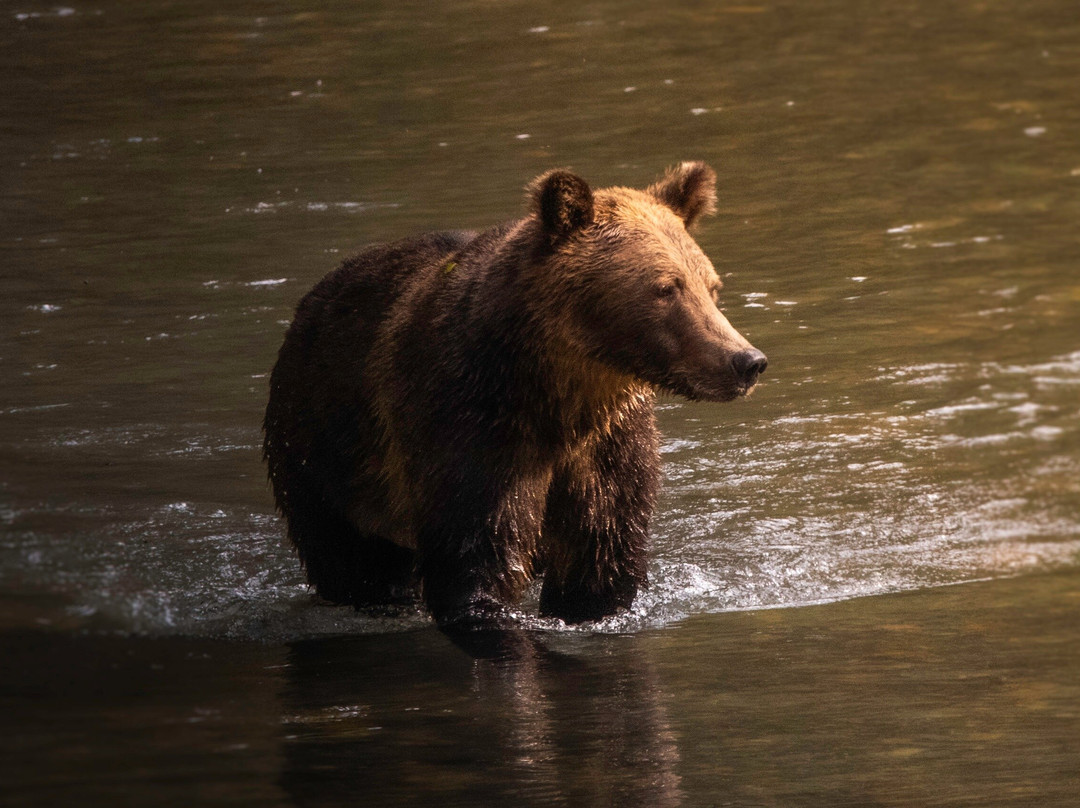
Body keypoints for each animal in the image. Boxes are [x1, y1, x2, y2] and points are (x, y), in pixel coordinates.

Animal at [263, 162, 767, 629]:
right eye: (666, 287)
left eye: (711, 285)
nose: (746, 360)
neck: (561, 391)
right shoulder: (471, 423)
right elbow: (477, 556)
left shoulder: (608, 447)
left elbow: (602, 554)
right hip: (325, 452)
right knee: (351, 559)